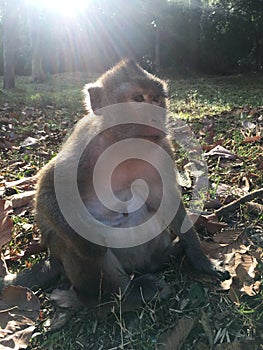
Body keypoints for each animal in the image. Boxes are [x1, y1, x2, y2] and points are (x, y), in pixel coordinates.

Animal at [0, 60, 229, 308]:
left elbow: (167, 198)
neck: (124, 142)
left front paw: (201, 260)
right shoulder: (84, 144)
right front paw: (90, 244)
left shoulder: (162, 148)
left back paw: (166, 256)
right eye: (138, 98)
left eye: (157, 98)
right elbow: (48, 192)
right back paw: (129, 295)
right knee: (66, 239)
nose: (156, 116)